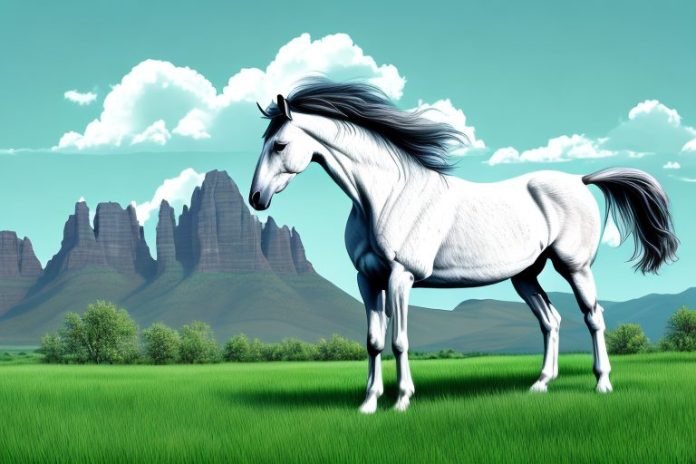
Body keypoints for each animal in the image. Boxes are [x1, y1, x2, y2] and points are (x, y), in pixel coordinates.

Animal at [248, 78, 678, 413]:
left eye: (280, 145)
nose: (256, 198)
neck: (386, 197)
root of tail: (580, 179)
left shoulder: (401, 277)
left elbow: (399, 340)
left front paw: (402, 400)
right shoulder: (368, 280)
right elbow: (372, 342)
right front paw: (368, 403)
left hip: (574, 267)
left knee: (593, 317)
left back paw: (602, 383)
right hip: (525, 276)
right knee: (551, 320)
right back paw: (541, 383)